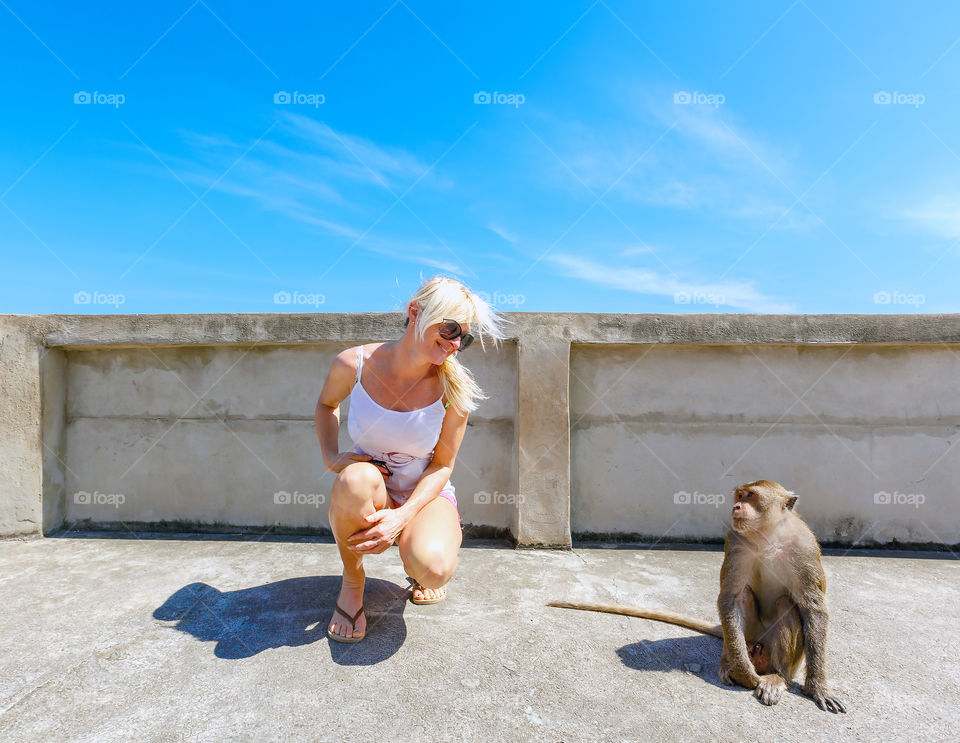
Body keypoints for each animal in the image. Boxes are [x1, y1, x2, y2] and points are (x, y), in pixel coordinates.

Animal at [548, 482, 848, 716]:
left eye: (750, 496)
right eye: (739, 495)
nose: (736, 507)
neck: (768, 536)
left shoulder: (804, 546)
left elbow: (813, 607)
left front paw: (817, 687)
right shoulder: (736, 541)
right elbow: (730, 597)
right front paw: (742, 670)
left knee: (787, 604)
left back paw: (776, 676)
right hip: (747, 636)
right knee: (743, 600)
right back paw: (730, 664)